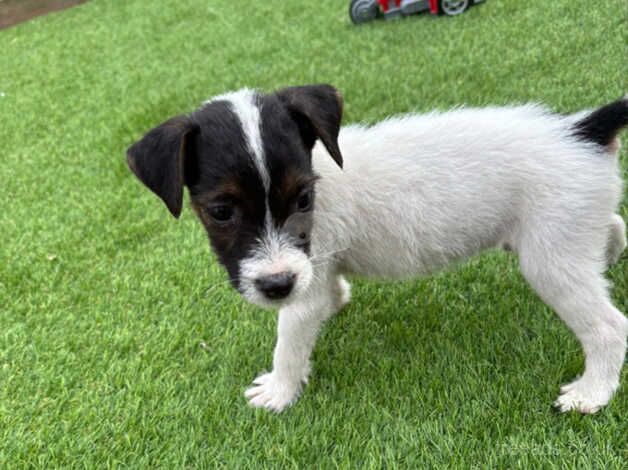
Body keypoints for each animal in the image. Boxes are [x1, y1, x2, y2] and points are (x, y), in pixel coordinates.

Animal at [127, 85, 628, 414]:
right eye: (221, 211)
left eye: (303, 199)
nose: (276, 285)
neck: (323, 171)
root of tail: (581, 129)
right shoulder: (315, 269)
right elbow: (328, 296)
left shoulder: (304, 285)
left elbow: (289, 339)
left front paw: (280, 391)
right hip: (564, 232)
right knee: (614, 224)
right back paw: (608, 257)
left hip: (549, 261)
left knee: (610, 327)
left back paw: (592, 394)